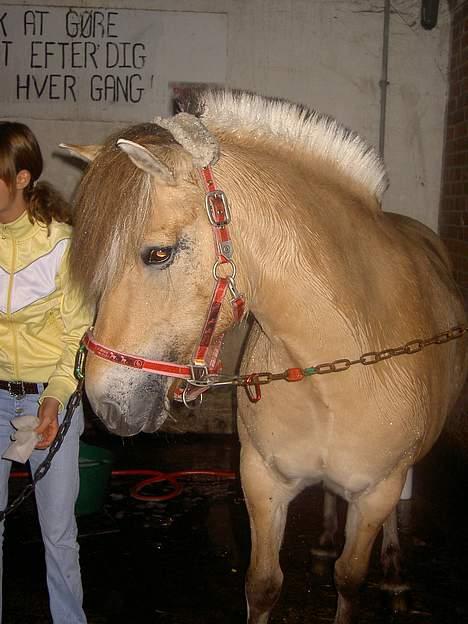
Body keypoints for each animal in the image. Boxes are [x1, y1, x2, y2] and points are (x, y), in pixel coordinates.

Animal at [63, 89, 468, 624]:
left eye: (158, 254)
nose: (104, 400)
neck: (334, 372)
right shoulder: (261, 480)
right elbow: (262, 585)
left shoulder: (376, 493)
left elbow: (349, 579)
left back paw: (396, 570)